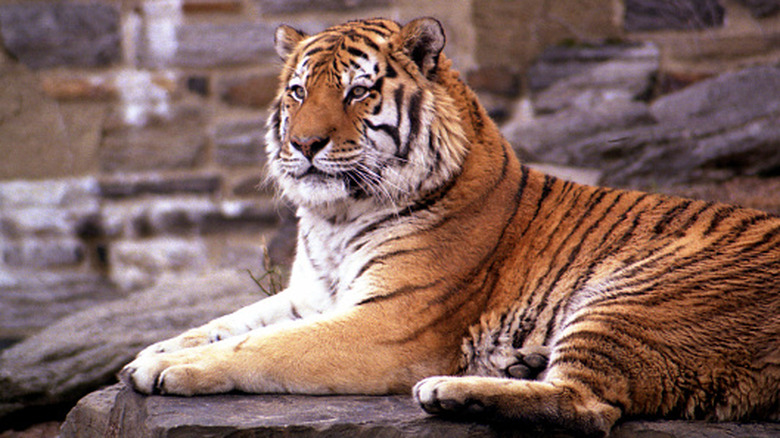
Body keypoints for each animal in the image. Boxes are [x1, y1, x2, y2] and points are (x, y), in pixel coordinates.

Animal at [121, 17, 780, 437]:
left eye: (358, 92)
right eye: (299, 91)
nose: (304, 144)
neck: (335, 219)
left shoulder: (390, 323)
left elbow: (264, 345)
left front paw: (168, 370)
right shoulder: (311, 295)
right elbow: (226, 322)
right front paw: (150, 352)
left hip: (635, 293)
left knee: (589, 407)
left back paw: (453, 392)